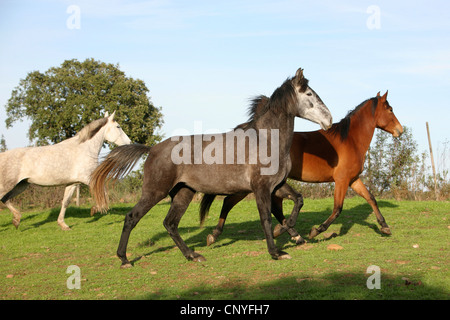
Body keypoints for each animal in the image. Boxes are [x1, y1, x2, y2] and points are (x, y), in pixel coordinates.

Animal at [0, 112, 132, 230]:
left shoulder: (72, 183)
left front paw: (63, 225)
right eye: (118, 126)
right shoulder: (88, 178)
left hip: (21, 185)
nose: (129, 142)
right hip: (7, 185)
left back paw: (16, 220)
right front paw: (96, 209)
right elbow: (103, 192)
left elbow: (65, 202)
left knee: (5, 199)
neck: (85, 149)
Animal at [200, 90, 404, 245]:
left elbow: (371, 198)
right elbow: (337, 209)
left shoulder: (353, 179)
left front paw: (384, 227)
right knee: (231, 202)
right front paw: (317, 231)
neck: (350, 141)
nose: (400, 131)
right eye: (390, 109)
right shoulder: (342, 180)